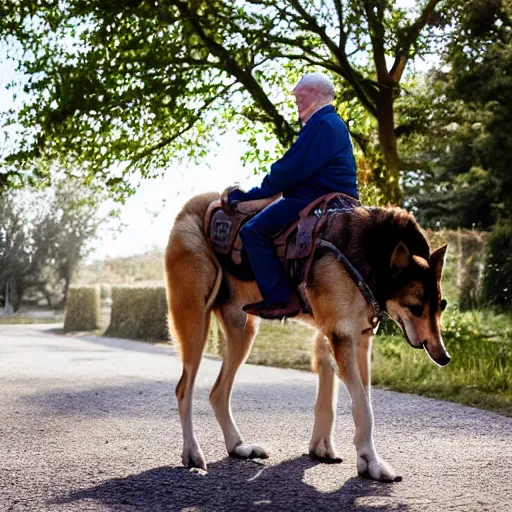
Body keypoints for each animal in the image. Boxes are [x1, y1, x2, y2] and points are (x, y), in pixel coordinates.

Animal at [166, 191, 450, 480]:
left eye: (442, 305)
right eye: (416, 307)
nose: (444, 357)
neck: (368, 252)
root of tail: (191, 205)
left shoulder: (355, 339)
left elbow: (345, 401)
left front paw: (326, 450)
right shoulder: (342, 336)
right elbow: (363, 407)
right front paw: (371, 463)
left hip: (243, 330)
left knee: (218, 393)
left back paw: (239, 447)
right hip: (195, 323)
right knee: (183, 389)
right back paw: (193, 453)